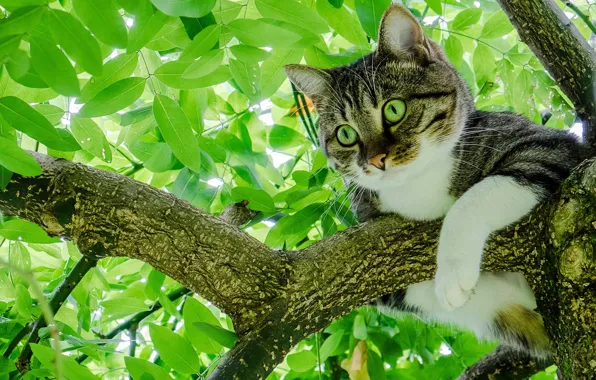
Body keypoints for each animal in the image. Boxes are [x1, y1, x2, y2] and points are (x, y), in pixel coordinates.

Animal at [284, 4, 588, 358]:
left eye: (394, 109)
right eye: (346, 134)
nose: (374, 160)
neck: (418, 187)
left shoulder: (547, 147)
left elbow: (474, 198)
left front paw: (452, 273)